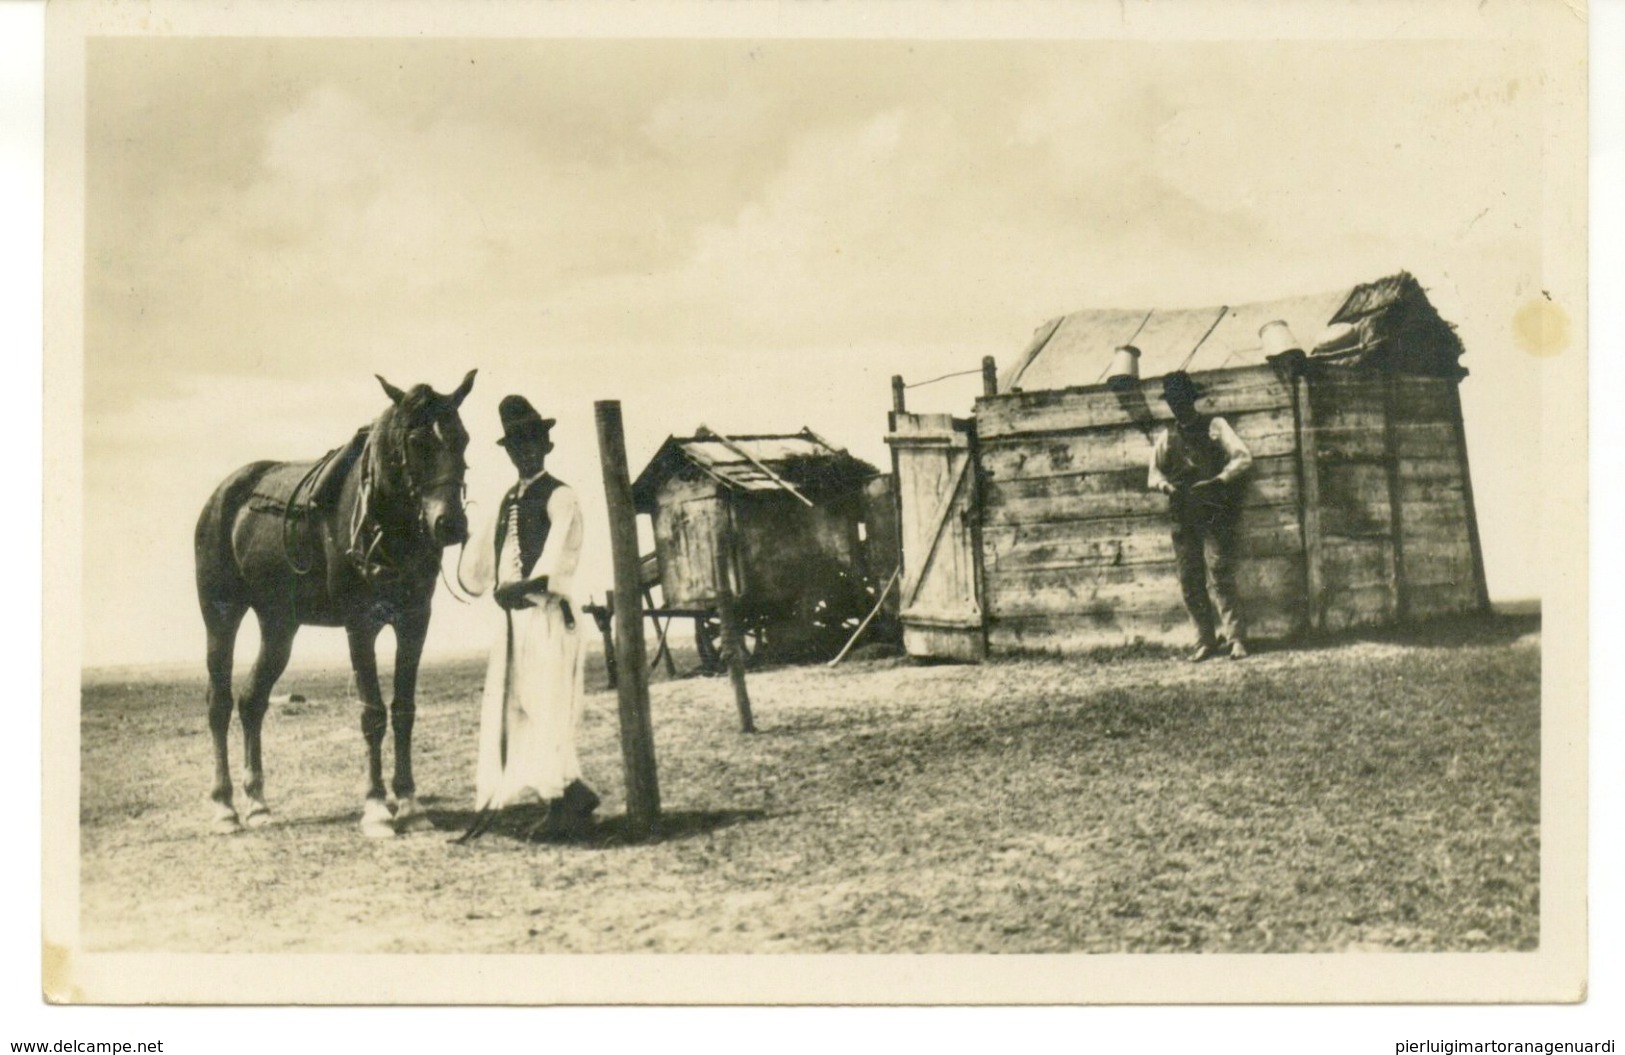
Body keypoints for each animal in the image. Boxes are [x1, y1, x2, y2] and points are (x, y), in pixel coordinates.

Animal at [195, 370, 474, 838]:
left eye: (464, 439)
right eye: (417, 441)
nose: (450, 524)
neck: (385, 522)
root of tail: (222, 495)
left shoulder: (414, 621)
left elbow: (403, 711)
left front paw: (411, 805)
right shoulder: (359, 624)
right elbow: (372, 713)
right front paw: (377, 808)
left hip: (279, 625)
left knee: (252, 701)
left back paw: (258, 803)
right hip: (221, 615)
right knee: (219, 704)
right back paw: (224, 808)